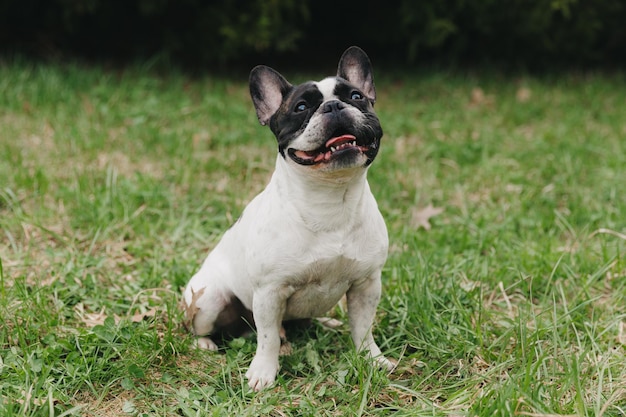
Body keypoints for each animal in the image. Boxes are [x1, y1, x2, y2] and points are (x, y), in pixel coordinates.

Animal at [183, 46, 392, 390]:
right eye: (302, 107)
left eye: (356, 96)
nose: (334, 106)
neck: (329, 198)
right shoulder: (270, 292)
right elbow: (267, 338)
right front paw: (263, 373)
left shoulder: (366, 284)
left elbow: (363, 328)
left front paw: (372, 359)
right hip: (208, 298)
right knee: (204, 327)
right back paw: (205, 344)